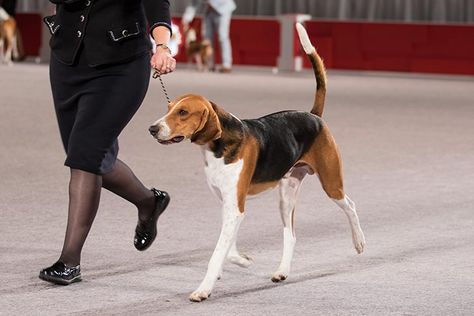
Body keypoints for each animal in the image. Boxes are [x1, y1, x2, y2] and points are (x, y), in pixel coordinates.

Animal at [150, 24, 364, 302]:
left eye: (183, 112)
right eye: (169, 108)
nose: (152, 129)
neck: (218, 146)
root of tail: (313, 116)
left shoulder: (235, 206)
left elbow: (217, 253)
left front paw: (204, 289)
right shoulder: (228, 203)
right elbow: (228, 246)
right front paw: (240, 260)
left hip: (331, 183)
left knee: (350, 206)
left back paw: (359, 241)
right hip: (287, 195)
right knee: (290, 236)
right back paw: (282, 271)